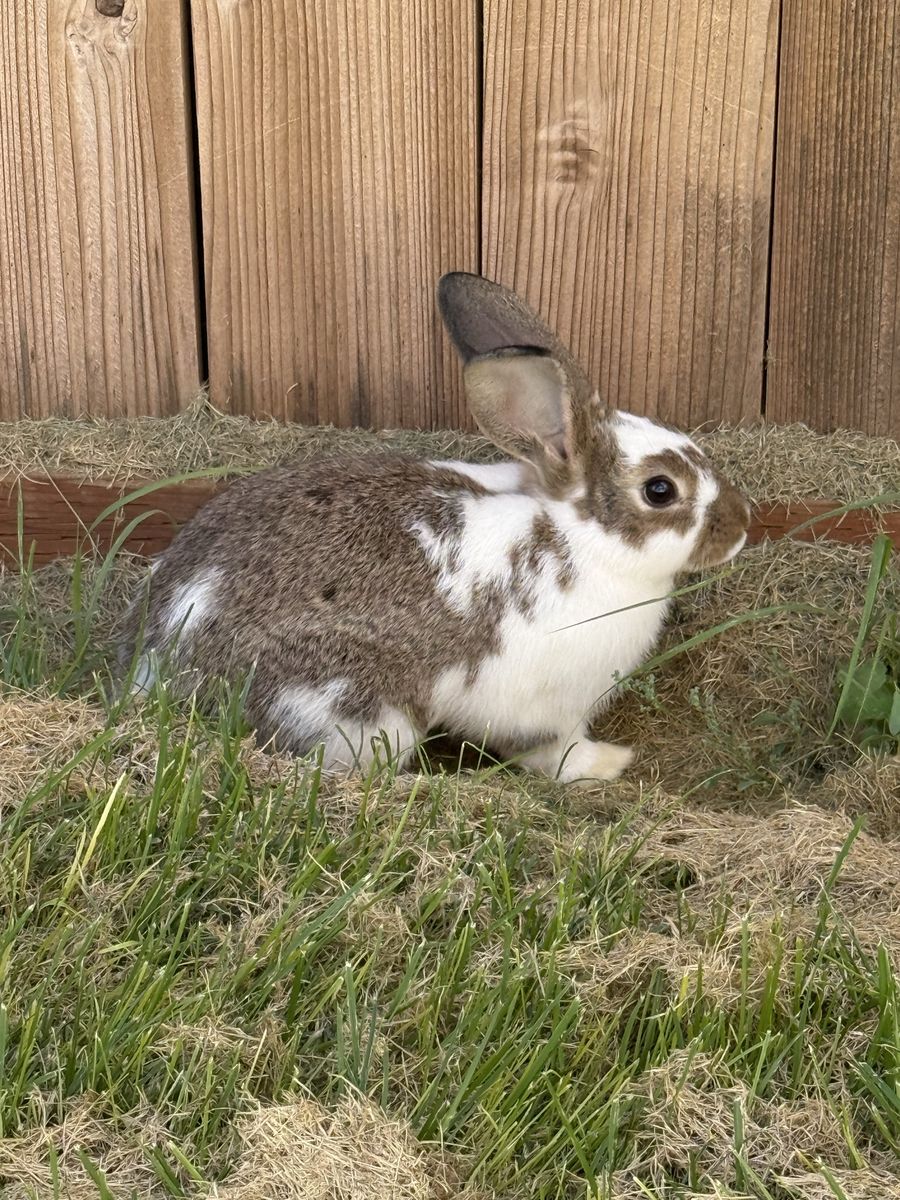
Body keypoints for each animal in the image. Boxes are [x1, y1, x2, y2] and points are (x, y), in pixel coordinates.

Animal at [120, 272, 751, 784]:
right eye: (660, 490)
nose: (742, 524)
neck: (579, 536)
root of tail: (160, 666)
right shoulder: (545, 707)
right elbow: (556, 753)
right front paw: (608, 764)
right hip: (360, 711)